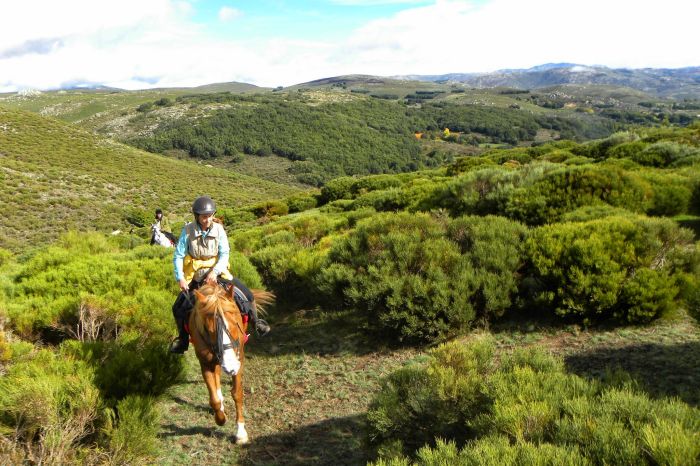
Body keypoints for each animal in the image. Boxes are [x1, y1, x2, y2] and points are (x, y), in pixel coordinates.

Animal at [191, 282, 274, 442]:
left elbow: (237, 393)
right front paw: (220, 418)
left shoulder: (239, 359)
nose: (230, 367)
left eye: (235, 323)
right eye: (208, 330)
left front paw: (240, 432)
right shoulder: (205, 363)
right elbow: (214, 399)